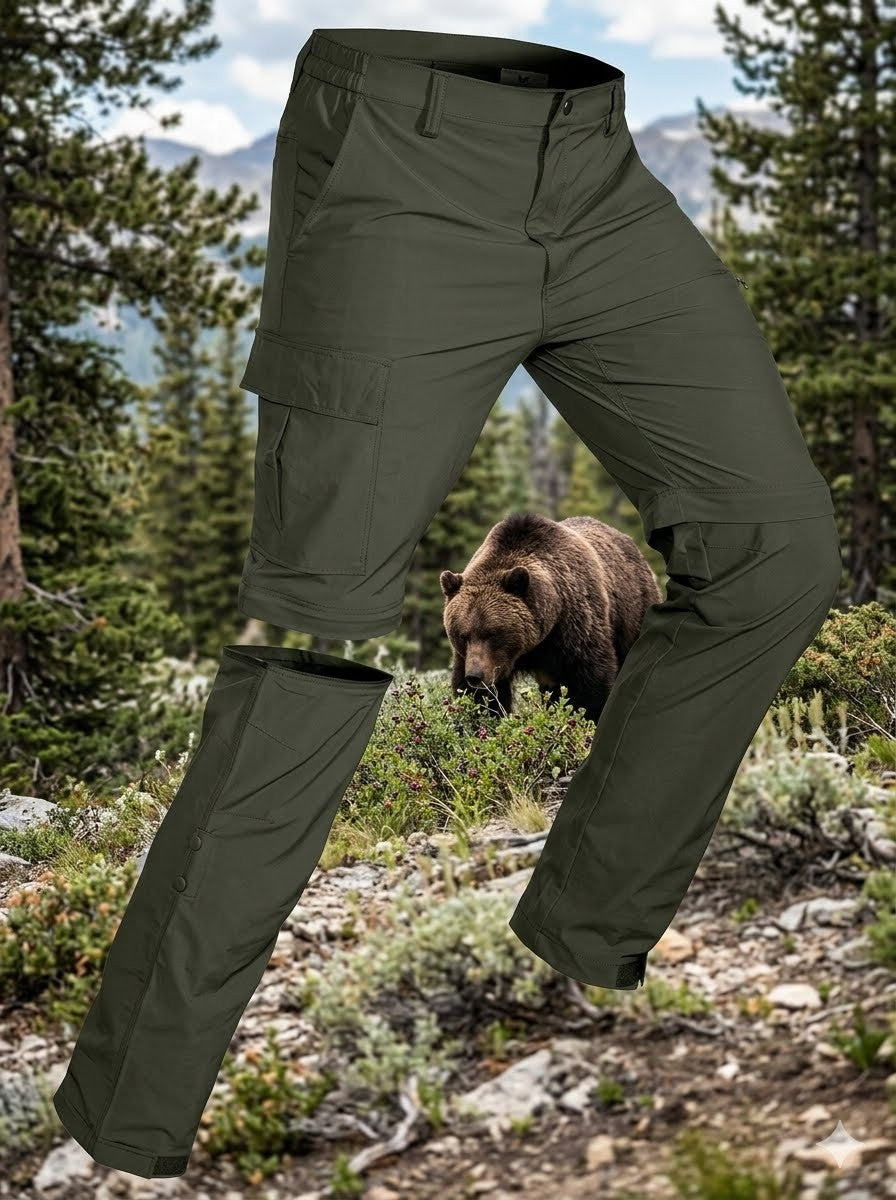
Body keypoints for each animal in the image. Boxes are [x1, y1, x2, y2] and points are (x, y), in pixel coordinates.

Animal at [439, 511, 662, 724]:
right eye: (462, 635)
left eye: (492, 633)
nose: (475, 676)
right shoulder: (472, 657)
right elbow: (478, 698)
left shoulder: (575, 628)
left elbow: (589, 683)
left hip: (633, 610)